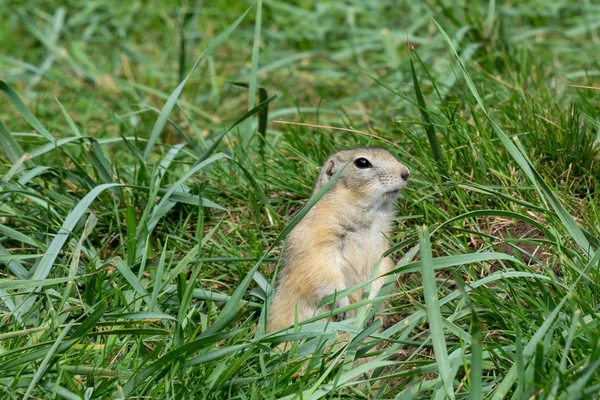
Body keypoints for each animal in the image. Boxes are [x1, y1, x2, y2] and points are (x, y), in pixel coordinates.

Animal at [270, 147, 410, 334]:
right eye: (362, 162)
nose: (406, 172)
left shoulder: (381, 249)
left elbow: (381, 274)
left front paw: (369, 308)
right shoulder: (319, 241)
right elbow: (324, 273)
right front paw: (343, 308)